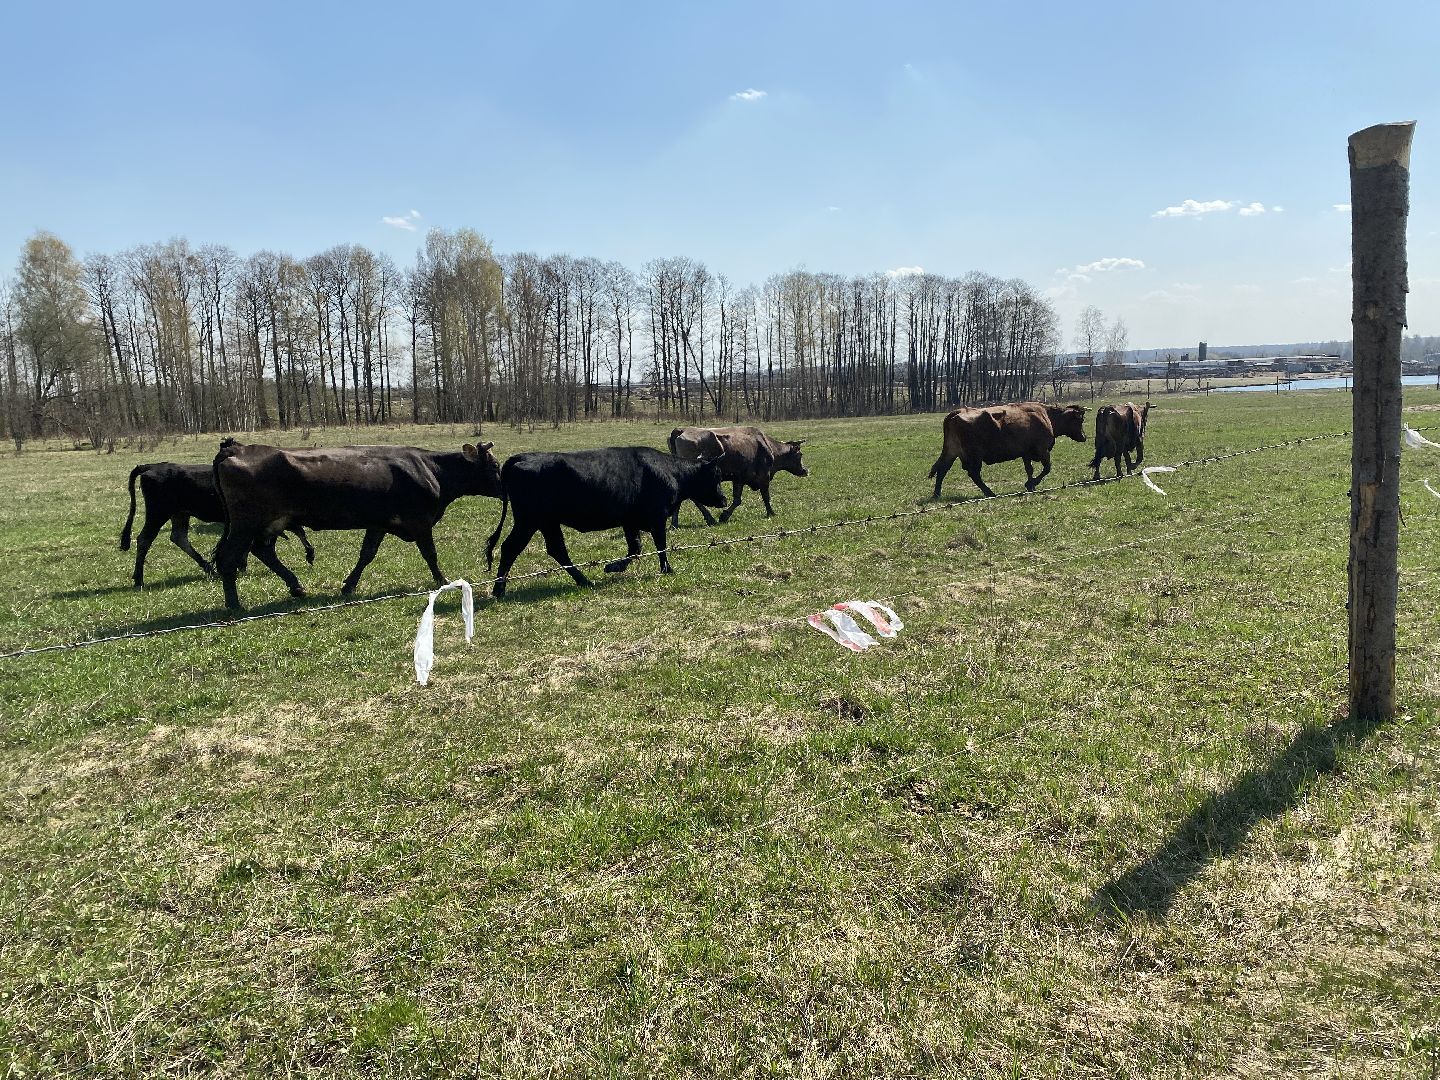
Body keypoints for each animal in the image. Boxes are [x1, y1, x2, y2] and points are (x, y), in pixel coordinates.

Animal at [119, 461, 314, 587]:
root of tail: (152, 466)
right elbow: (299, 530)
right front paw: (310, 554)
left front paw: (241, 564)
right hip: (158, 514)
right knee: (144, 539)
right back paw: (138, 579)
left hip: (180, 514)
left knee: (179, 537)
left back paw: (209, 569)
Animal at [212, 440, 502, 610]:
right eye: (496, 466)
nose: (504, 487)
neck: (432, 469)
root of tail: (236, 448)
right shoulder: (420, 522)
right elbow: (430, 554)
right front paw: (443, 580)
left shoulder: (379, 523)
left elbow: (367, 554)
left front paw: (349, 586)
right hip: (245, 523)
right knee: (229, 557)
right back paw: (234, 604)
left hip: (270, 523)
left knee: (263, 551)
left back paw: (296, 586)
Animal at [485, 447, 726, 599]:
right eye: (716, 475)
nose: (724, 499)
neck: (670, 471)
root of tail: (520, 457)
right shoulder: (657, 517)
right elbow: (660, 546)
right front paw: (667, 569)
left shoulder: (630, 521)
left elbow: (635, 548)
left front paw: (613, 567)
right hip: (528, 520)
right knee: (510, 548)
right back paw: (499, 590)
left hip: (547, 522)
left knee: (557, 549)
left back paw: (584, 581)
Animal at [667, 426, 808, 526]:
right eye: (800, 455)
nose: (805, 470)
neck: (767, 446)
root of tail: (682, 430)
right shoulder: (764, 476)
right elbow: (766, 496)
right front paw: (771, 513)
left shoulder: (739, 478)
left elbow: (737, 500)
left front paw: (724, 516)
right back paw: (709, 518)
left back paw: (675, 523)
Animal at [928, 401, 1088, 499]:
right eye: (1080, 420)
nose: (1084, 437)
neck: (1046, 416)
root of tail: (957, 412)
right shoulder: (1042, 449)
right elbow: (1047, 468)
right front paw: (1031, 484)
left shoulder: (1026, 453)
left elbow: (1029, 469)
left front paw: (1030, 485)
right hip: (974, 457)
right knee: (974, 474)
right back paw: (990, 492)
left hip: (951, 452)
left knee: (942, 469)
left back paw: (937, 494)